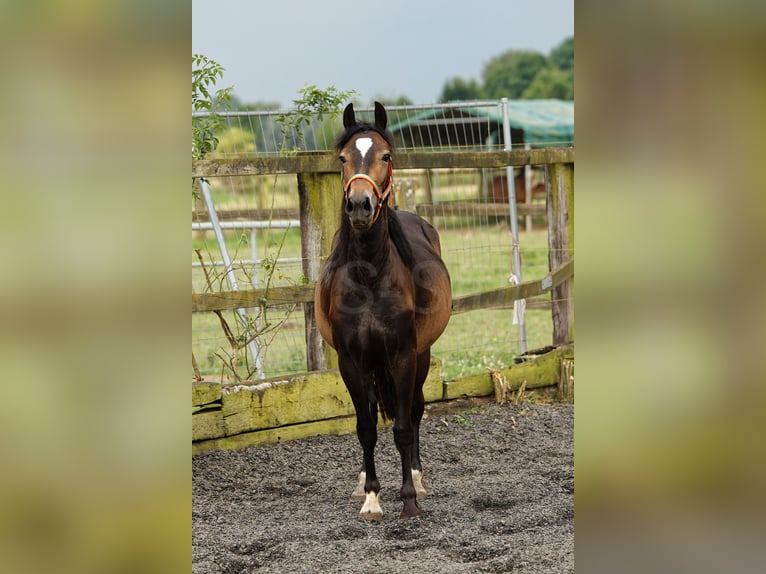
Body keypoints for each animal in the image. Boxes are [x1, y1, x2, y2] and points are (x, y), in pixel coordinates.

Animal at [315, 102, 452, 520]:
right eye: (342, 158)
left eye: (386, 156)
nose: (360, 205)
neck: (370, 276)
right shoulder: (352, 362)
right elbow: (366, 428)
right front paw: (372, 497)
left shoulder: (403, 356)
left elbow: (404, 428)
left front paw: (408, 498)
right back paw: (362, 482)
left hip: (422, 355)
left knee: (417, 410)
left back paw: (419, 480)